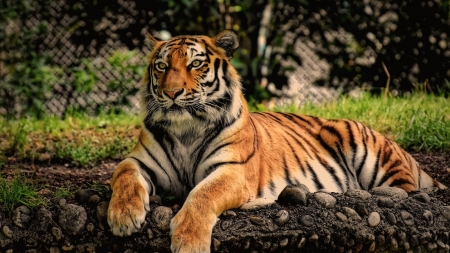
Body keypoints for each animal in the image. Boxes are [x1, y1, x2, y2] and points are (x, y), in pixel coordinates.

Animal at [106, 30, 446, 253]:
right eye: (162, 66)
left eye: (195, 64)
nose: (172, 92)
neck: (186, 129)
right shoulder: (139, 160)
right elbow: (123, 175)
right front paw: (123, 217)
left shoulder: (233, 169)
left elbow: (202, 194)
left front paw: (188, 241)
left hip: (372, 152)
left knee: (402, 192)